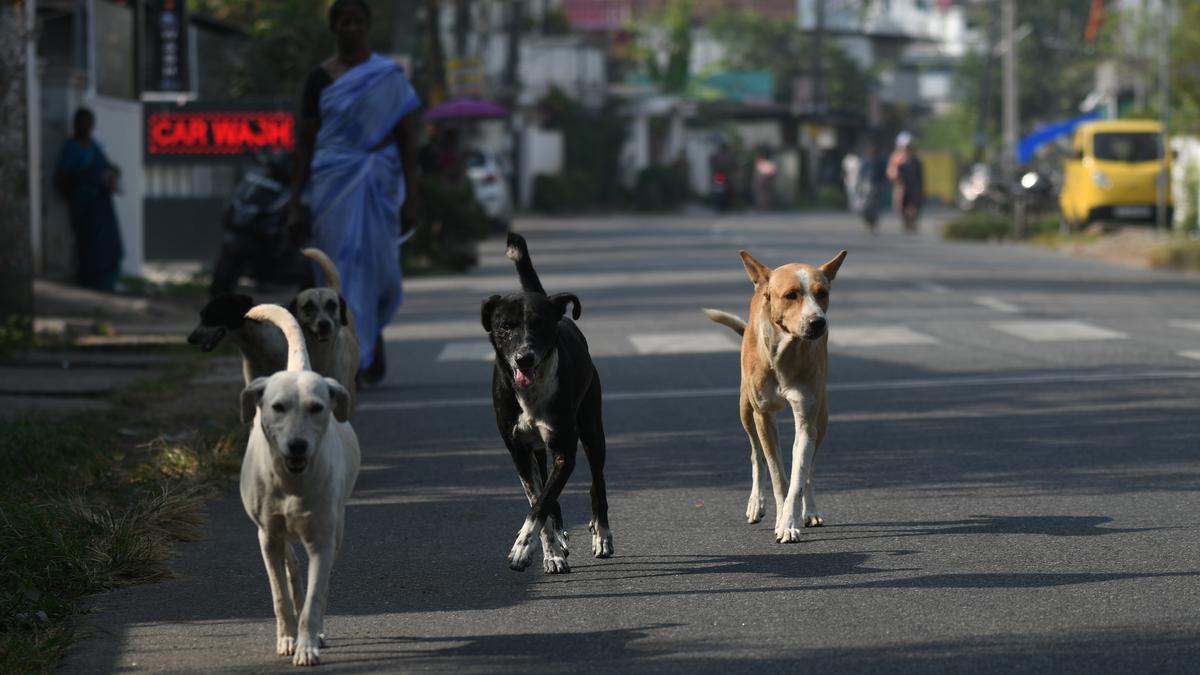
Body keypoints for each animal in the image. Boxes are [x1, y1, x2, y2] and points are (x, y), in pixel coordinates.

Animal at [237, 303, 357, 662]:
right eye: (277, 407)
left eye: (317, 408)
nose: (297, 445)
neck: (291, 482)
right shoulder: (267, 536)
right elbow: (279, 594)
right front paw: (288, 638)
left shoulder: (322, 538)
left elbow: (316, 597)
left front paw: (307, 644)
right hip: (272, 533)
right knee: (289, 564)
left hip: (337, 526)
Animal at [477, 233, 614, 571]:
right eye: (505, 326)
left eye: (539, 324)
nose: (523, 358)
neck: (531, 394)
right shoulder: (519, 453)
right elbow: (540, 500)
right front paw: (549, 551)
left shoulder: (565, 450)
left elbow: (541, 504)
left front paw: (522, 549)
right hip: (537, 451)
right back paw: (561, 540)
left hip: (592, 429)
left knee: (597, 482)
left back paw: (602, 535)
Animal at [700, 247, 844, 540]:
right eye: (791, 295)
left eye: (822, 293)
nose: (818, 322)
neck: (786, 352)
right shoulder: (763, 415)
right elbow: (777, 473)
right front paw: (780, 516)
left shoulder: (807, 417)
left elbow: (799, 473)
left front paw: (789, 521)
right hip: (745, 408)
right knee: (756, 454)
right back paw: (756, 503)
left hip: (822, 415)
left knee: (811, 465)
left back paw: (810, 510)